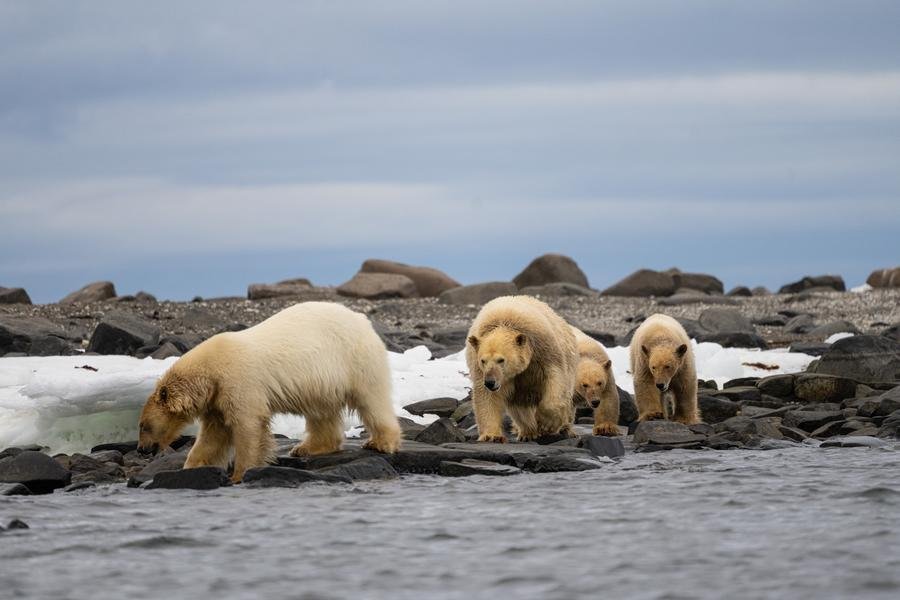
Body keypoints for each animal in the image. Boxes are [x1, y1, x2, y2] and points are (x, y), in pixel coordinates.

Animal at [137, 302, 401, 482]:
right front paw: (191, 466)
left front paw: (239, 474)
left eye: (144, 426)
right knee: (321, 412)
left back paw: (381, 443)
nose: (141, 449)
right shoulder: (216, 398)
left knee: (371, 400)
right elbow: (214, 435)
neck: (208, 371)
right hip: (322, 381)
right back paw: (307, 447)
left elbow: (247, 425)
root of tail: (362, 319)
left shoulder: (238, 381)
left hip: (354, 360)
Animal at [465, 295, 578, 442]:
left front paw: (546, 424)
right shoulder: (480, 369)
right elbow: (487, 396)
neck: (504, 321)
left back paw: (564, 428)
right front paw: (492, 436)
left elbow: (555, 377)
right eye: (483, 361)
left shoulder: (543, 349)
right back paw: (528, 432)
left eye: (501, 360)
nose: (490, 382)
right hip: (519, 391)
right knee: (520, 407)